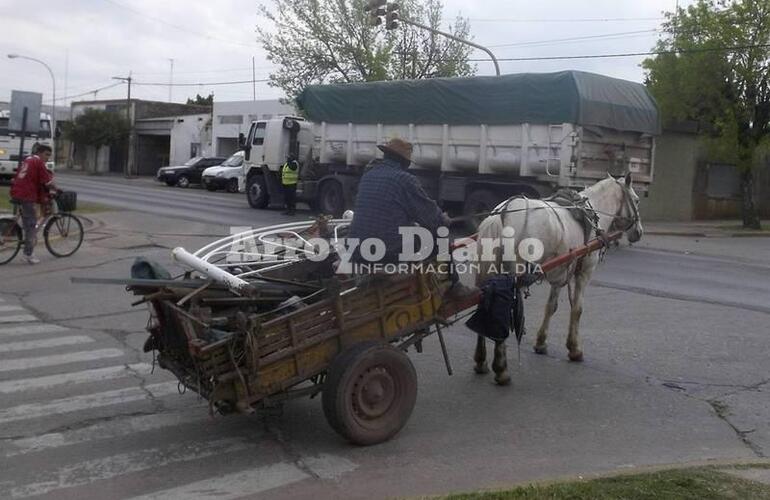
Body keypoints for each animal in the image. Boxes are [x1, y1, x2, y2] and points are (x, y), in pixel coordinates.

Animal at [474, 174, 640, 384]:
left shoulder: (560, 271)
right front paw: (574, 349)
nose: (639, 232)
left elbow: (551, 306)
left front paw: (541, 342)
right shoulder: (584, 272)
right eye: (637, 200)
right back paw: (501, 369)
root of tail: (501, 214)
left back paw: (481, 361)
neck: (592, 212)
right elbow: (577, 309)